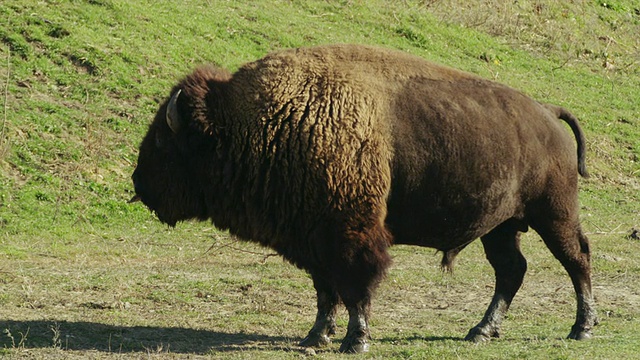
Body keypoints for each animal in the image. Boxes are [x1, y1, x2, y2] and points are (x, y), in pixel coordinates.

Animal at [132, 43, 596, 352]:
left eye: (162, 141)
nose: (138, 183)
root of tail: (547, 112)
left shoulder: (350, 235)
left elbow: (356, 286)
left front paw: (355, 340)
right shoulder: (313, 239)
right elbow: (325, 291)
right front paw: (315, 336)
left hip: (553, 215)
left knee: (577, 260)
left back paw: (581, 328)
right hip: (500, 226)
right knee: (511, 270)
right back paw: (481, 331)